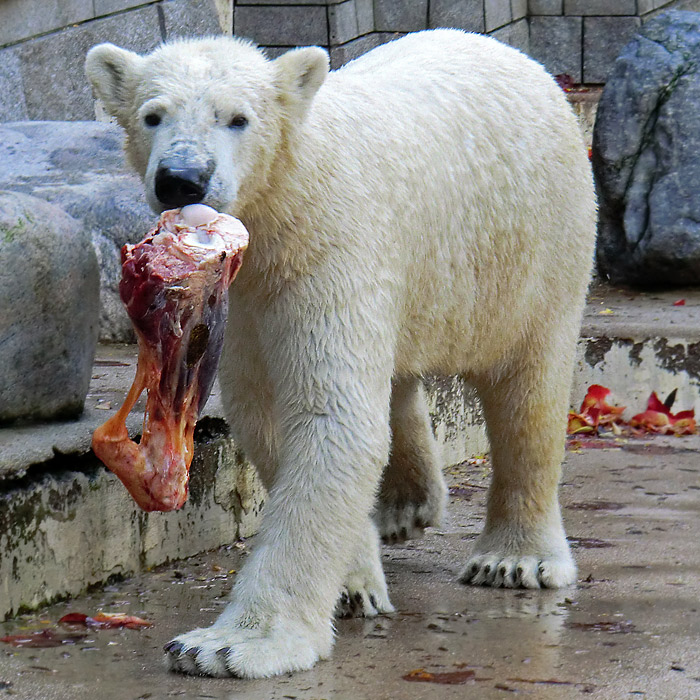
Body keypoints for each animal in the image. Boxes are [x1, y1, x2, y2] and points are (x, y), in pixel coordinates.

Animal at [86, 31, 596, 680]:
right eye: (153, 115)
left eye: (238, 118)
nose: (183, 178)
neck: (289, 194)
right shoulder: (249, 299)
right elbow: (274, 419)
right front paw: (353, 586)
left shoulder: (330, 250)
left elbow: (331, 417)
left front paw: (228, 645)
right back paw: (406, 503)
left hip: (536, 243)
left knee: (528, 387)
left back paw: (513, 560)